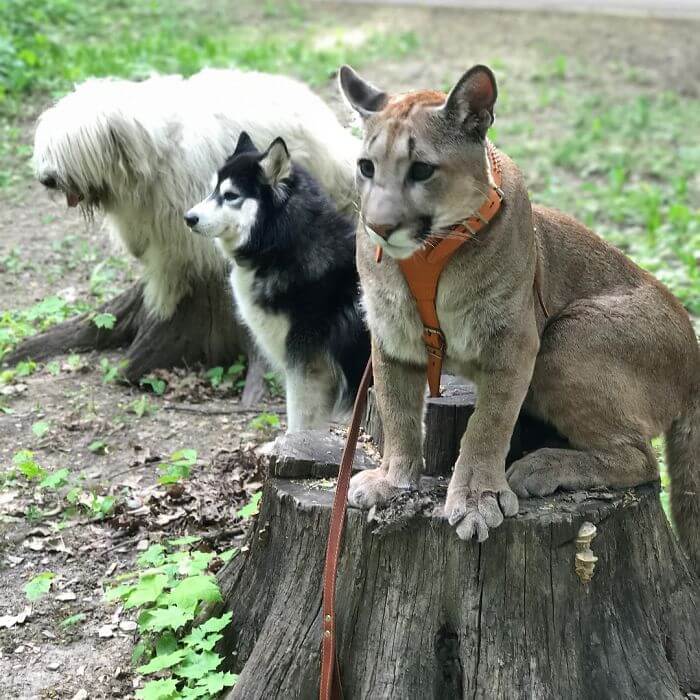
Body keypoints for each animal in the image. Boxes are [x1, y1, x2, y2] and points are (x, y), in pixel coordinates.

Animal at [32, 67, 358, 318]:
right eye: (48, 146)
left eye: (71, 147)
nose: (46, 179)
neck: (148, 151)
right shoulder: (143, 215)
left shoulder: (177, 219)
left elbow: (169, 259)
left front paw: (162, 298)